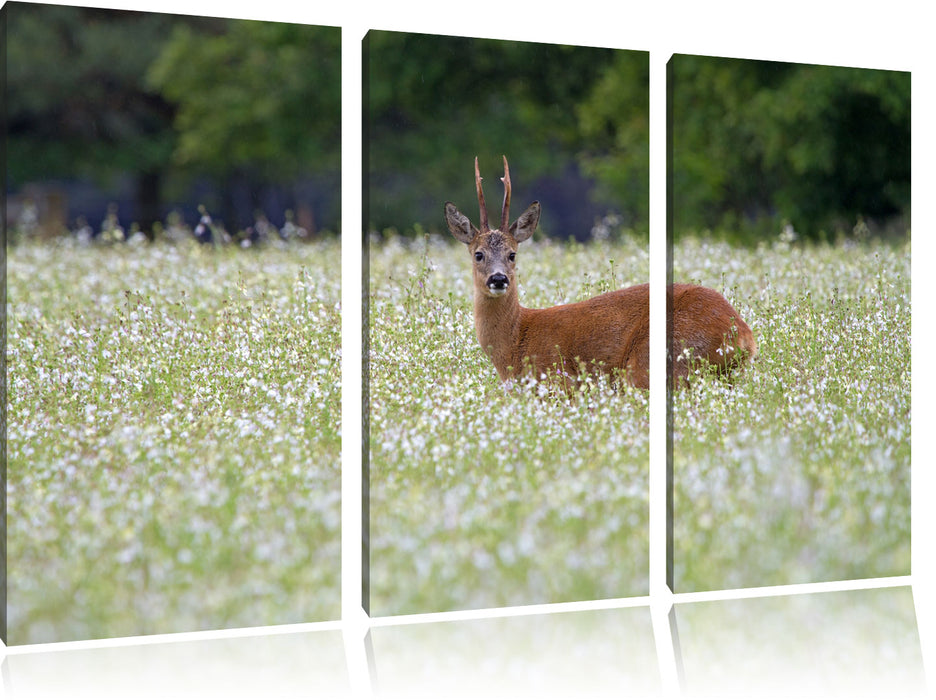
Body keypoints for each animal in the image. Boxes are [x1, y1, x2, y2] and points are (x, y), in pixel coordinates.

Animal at [442, 155, 756, 392]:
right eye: (478, 254)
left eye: (512, 254)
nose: (498, 279)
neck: (516, 341)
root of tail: (743, 335)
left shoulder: (558, 381)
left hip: (653, 363)